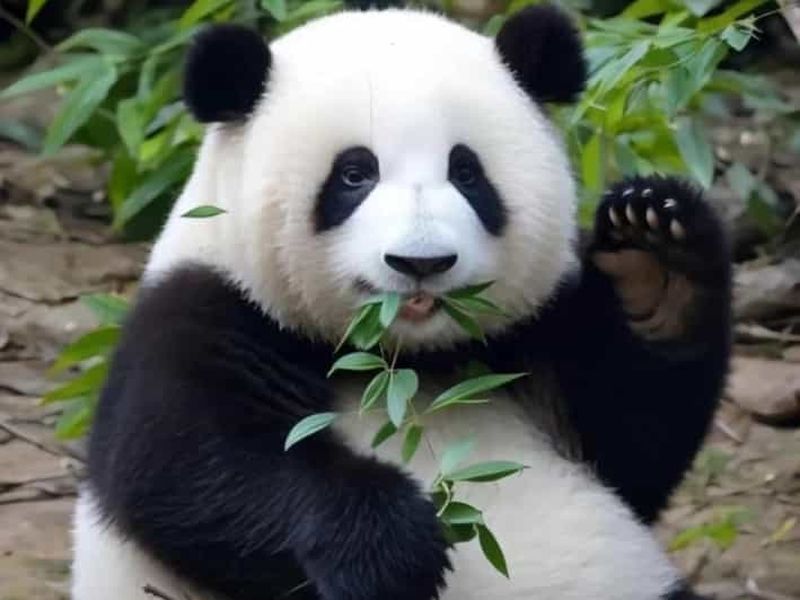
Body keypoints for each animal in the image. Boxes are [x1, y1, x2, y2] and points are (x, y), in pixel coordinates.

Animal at [71, 5, 731, 600]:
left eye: (467, 172)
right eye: (353, 174)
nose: (421, 262)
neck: (402, 365)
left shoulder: (530, 335)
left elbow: (633, 447)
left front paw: (653, 267)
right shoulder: (210, 308)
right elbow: (185, 468)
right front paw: (389, 545)